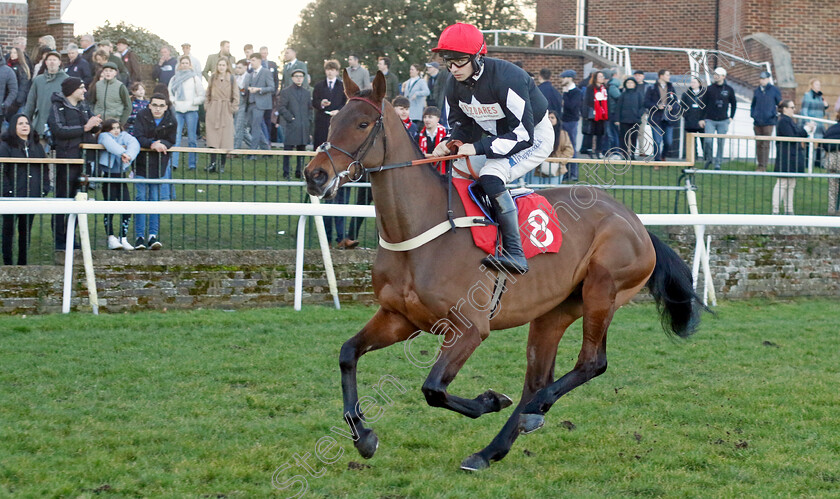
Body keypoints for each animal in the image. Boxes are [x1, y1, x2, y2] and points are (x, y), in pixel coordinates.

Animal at [302, 71, 704, 472]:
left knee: (591, 363)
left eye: (362, 124)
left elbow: (433, 389)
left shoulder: (469, 328)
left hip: (602, 291)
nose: (314, 175)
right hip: (554, 311)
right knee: (537, 379)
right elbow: (348, 353)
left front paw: (491, 400)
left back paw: (534, 410)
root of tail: (636, 223)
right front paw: (364, 437)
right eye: (332, 121)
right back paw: (493, 448)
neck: (420, 231)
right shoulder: (398, 317)